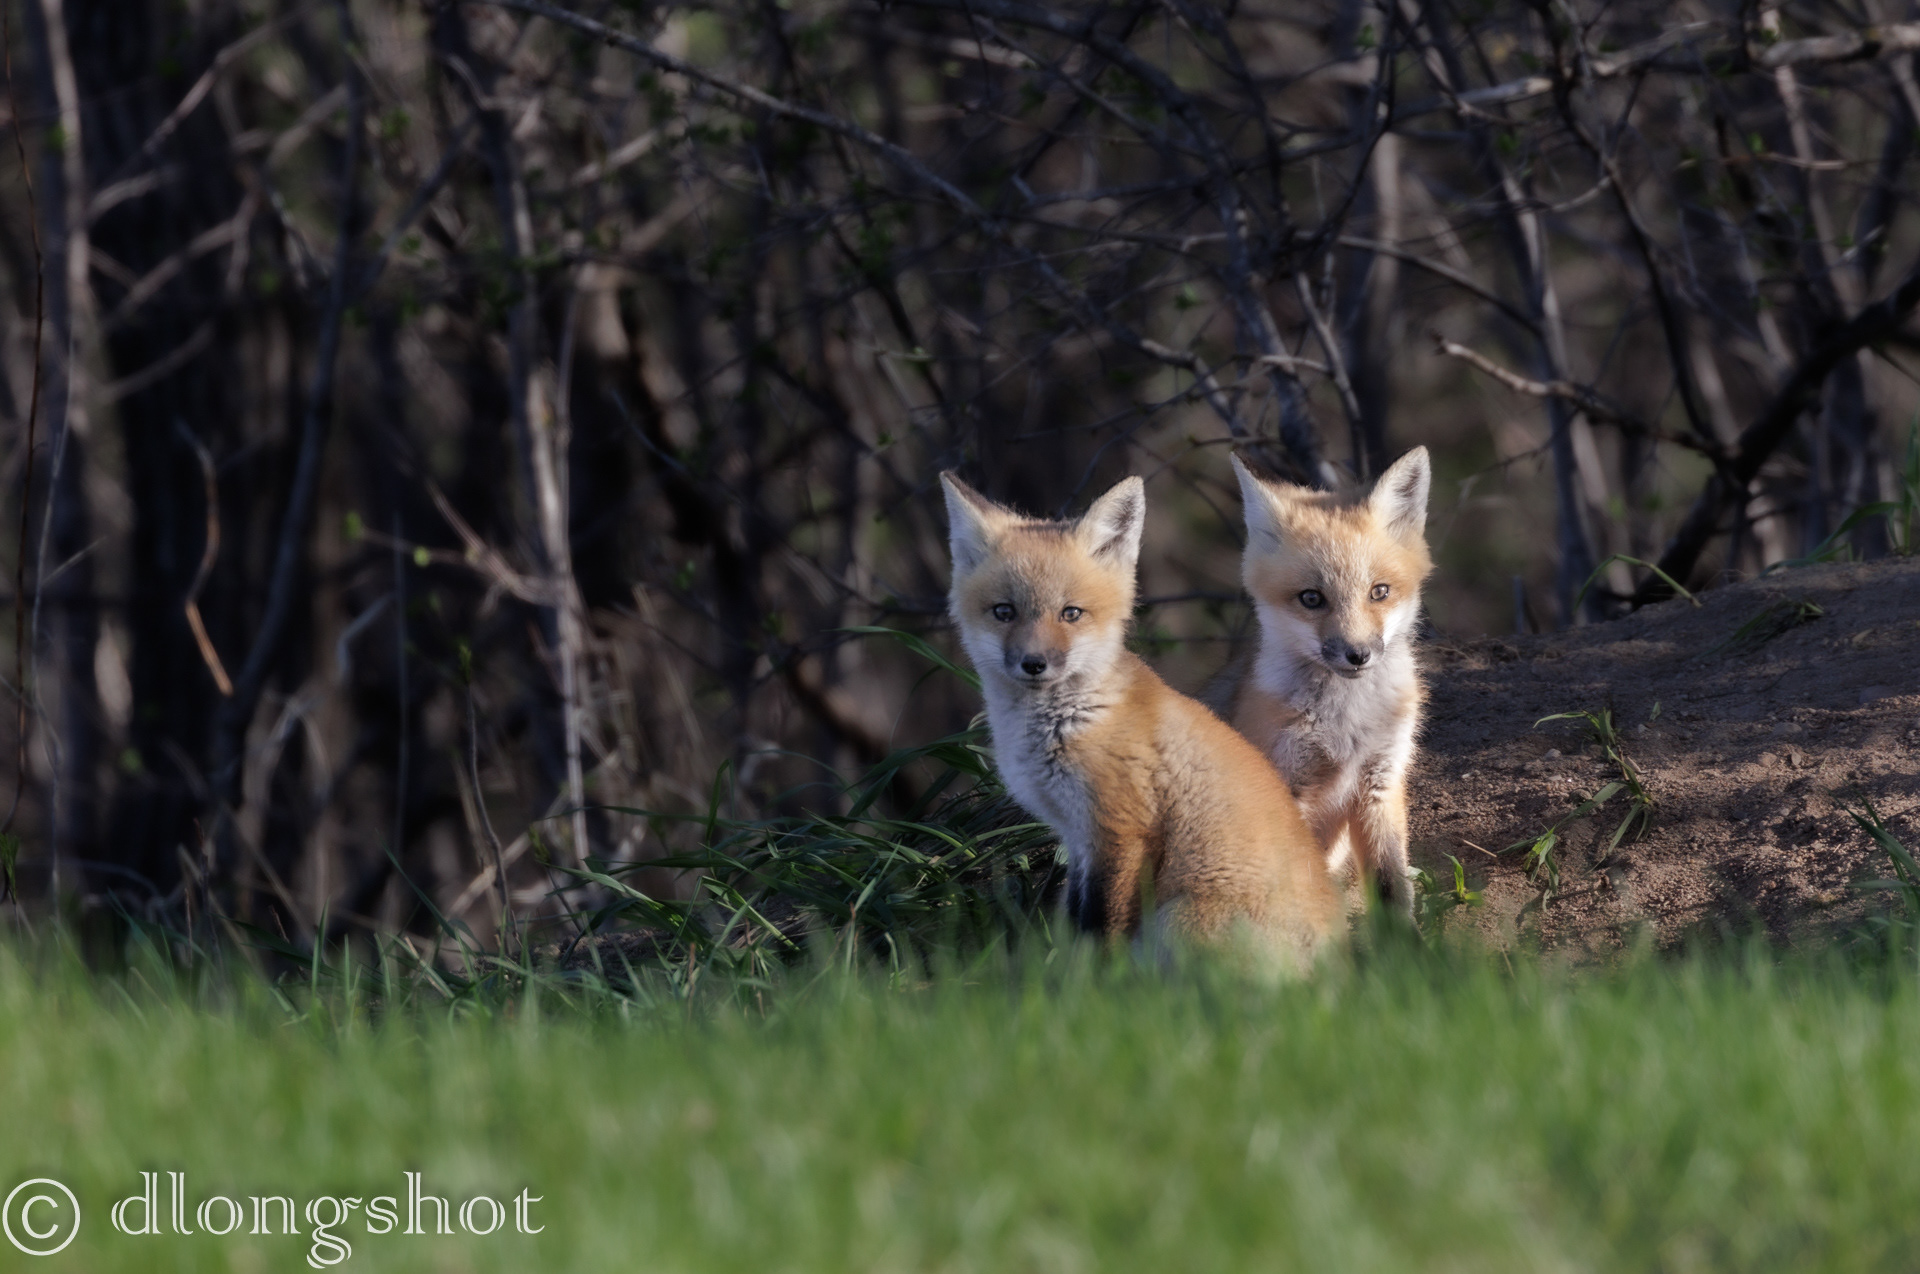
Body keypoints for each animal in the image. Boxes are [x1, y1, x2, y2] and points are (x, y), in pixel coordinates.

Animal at [941, 471, 1339, 969]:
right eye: (1004, 612)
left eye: (1071, 613)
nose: (1034, 664)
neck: (1074, 723)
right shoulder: (1079, 836)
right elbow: (1073, 915)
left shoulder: (1123, 829)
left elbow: (1100, 927)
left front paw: (1092, 982)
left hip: (1176, 920)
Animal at [1207, 448, 1434, 916]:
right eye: (1311, 598)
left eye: (1379, 592)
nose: (1358, 654)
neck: (1345, 724)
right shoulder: (1285, 790)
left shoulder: (1379, 782)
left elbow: (1391, 887)